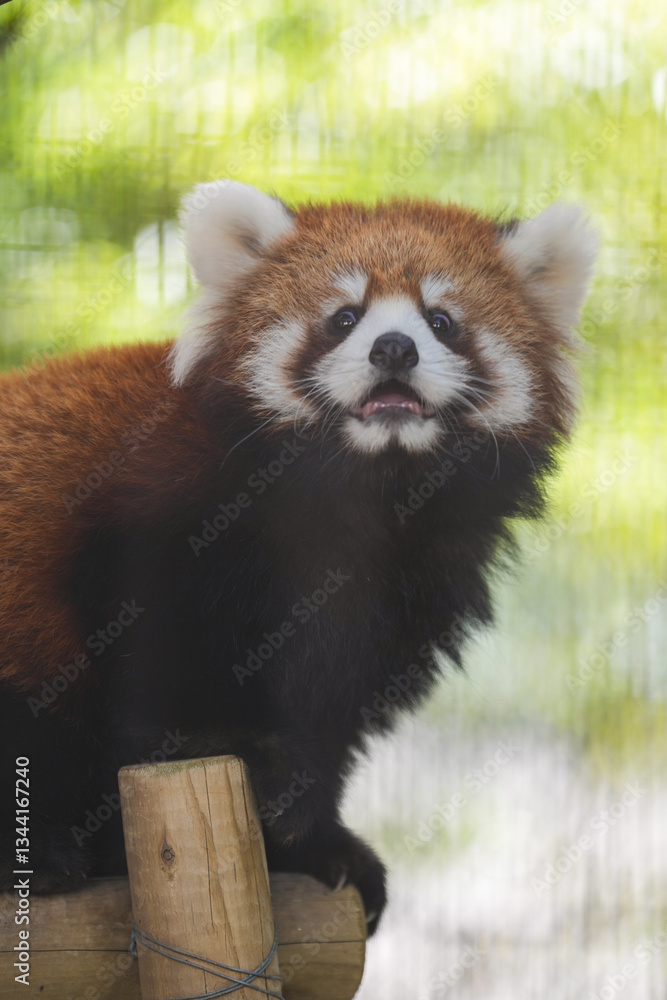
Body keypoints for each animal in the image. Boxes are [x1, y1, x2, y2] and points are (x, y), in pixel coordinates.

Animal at [0, 181, 597, 934]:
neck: (364, 489)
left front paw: (314, 839)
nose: (395, 348)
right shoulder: (157, 529)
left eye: (442, 321)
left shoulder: (403, 592)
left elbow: (323, 712)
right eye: (344, 318)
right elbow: (155, 684)